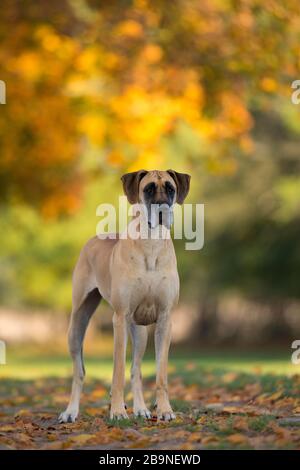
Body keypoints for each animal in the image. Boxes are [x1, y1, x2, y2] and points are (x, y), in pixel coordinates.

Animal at [58, 169, 190, 422]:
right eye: (148, 189)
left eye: (170, 188)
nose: (162, 210)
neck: (151, 243)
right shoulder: (119, 318)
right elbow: (117, 371)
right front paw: (118, 411)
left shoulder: (166, 318)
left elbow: (160, 374)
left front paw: (165, 410)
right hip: (76, 323)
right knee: (79, 371)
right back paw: (71, 411)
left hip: (140, 332)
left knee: (136, 369)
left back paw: (141, 408)